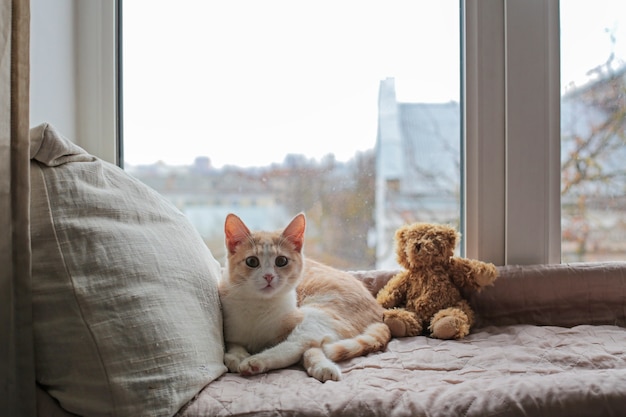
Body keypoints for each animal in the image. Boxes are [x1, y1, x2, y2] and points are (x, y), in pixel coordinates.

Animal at [217, 213, 388, 382]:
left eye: (281, 261)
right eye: (252, 261)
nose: (268, 276)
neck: (259, 304)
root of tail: (379, 312)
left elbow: (309, 348)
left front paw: (321, 364)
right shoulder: (231, 329)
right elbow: (233, 343)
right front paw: (236, 356)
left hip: (320, 312)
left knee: (299, 343)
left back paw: (257, 361)